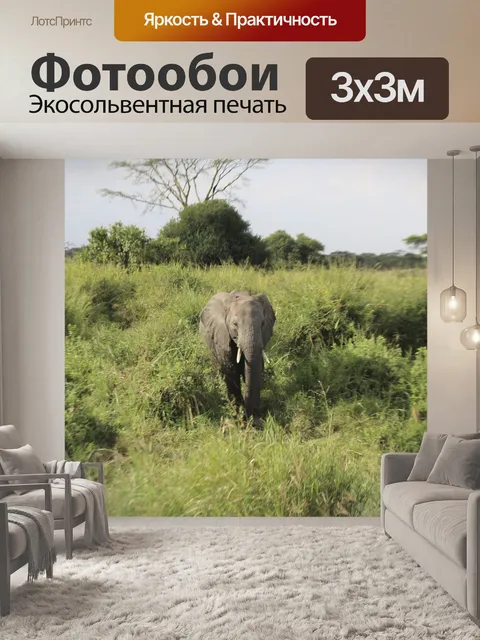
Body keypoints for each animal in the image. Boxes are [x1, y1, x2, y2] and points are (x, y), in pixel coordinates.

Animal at [199, 290, 276, 423]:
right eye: (235, 324)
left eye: (262, 324)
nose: (250, 419)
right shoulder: (222, 336)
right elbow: (231, 371)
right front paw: (238, 413)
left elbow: (255, 369)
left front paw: (254, 419)